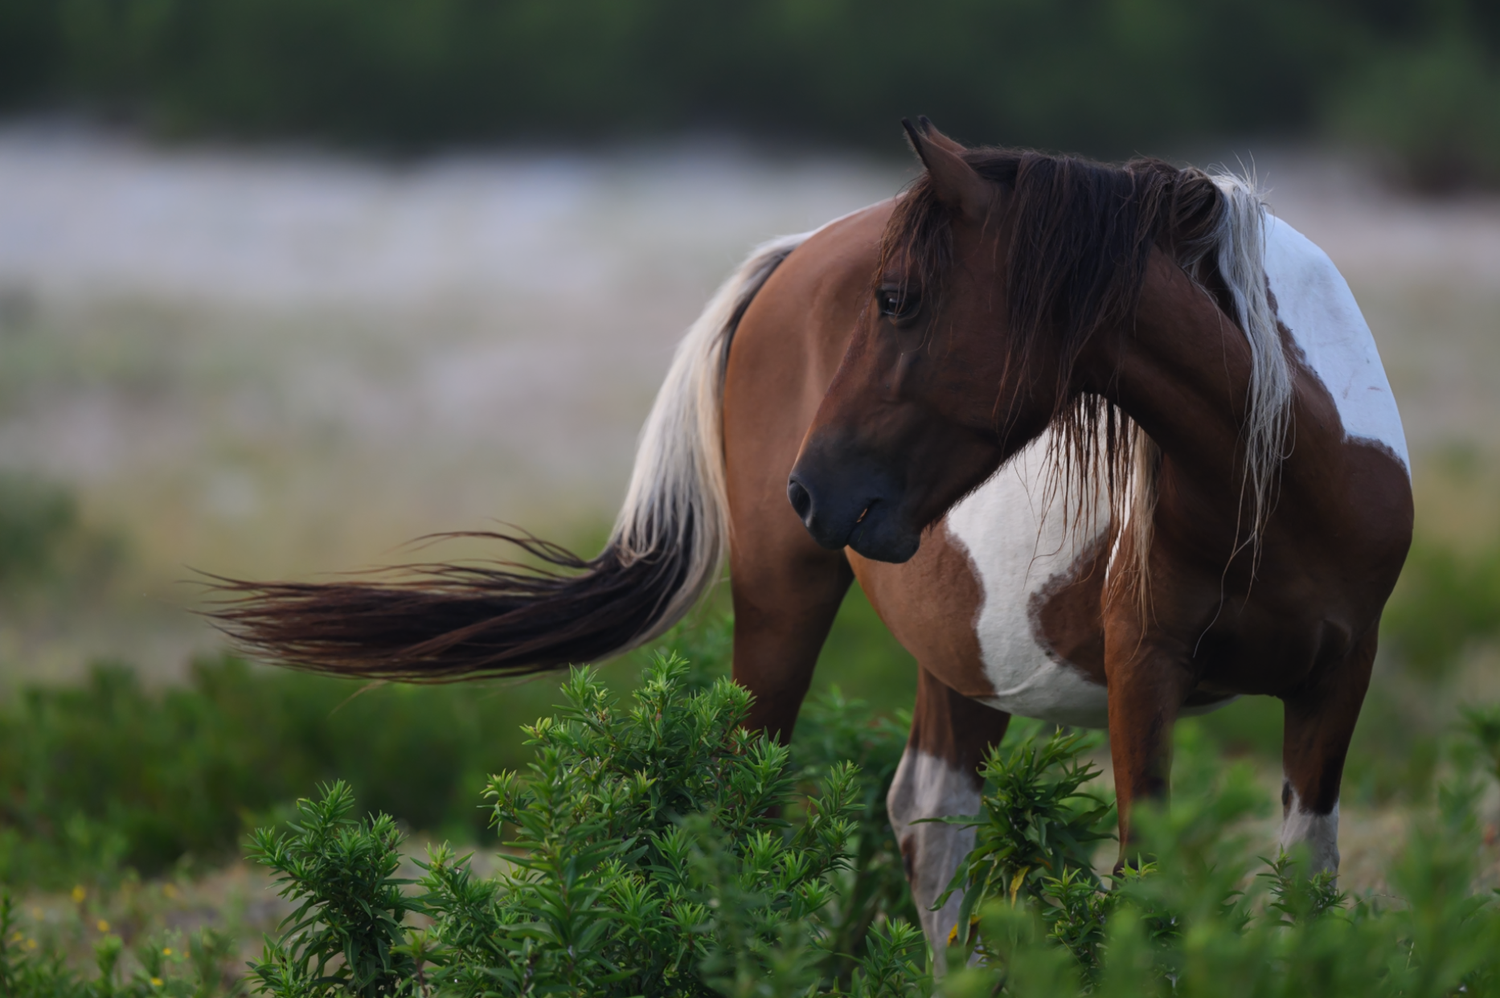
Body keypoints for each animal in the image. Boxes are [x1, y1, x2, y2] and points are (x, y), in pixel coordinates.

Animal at [213, 119, 1413, 952]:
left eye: (902, 296)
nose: (811, 488)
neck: (1271, 472)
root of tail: (795, 252)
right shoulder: (1143, 666)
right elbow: (1149, 880)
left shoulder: (1339, 677)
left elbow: (1305, 877)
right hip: (787, 604)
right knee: (753, 804)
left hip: (957, 652)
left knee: (932, 820)